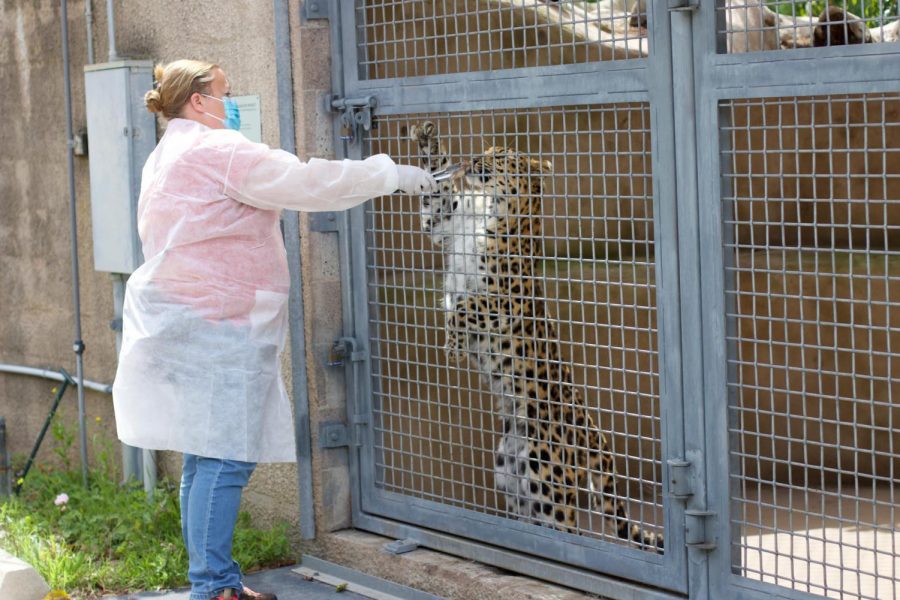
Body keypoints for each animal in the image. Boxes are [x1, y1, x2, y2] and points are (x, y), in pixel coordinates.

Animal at [408, 122, 660, 552]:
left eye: (500, 156)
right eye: (485, 151)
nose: (473, 159)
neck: (492, 209)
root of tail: (592, 431)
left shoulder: (503, 300)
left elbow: (462, 309)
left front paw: (454, 348)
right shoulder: (444, 223)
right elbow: (436, 190)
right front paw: (426, 139)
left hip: (550, 486)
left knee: (569, 529)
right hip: (514, 479)